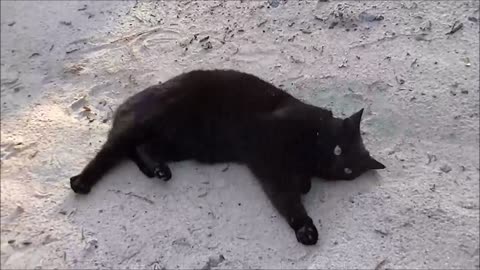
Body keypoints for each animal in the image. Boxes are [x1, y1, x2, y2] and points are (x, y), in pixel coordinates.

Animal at [70, 69, 386, 245]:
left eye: (348, 170)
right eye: (337, 149)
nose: (334, 163)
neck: (309, 151)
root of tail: (128, 102)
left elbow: (298, 187)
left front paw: (305, 188)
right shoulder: (268, 157)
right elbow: (287, 198)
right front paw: (305, 228)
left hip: (177, 146)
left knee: (142, 150)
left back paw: (159, 170)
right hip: (144, 124)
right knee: (110, 151)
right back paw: (81, 182)